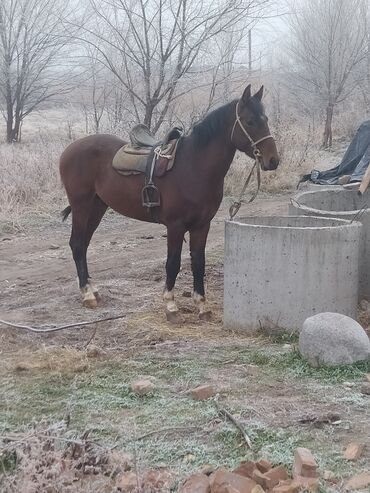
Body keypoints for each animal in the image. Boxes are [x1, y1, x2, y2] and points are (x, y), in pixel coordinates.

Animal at [59, 84, 278, 320]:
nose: (273, 160)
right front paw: (171, 305)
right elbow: (173, 263)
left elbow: (198, 262)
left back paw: (92, 288)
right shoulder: (175, 226)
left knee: (84, 244)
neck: (194, 166)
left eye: (266, 119)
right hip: (81, 206)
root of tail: (70, 149)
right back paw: (87, 294)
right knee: (77, 244)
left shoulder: (202, 225)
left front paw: (202, 305)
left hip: (97, 207)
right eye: (250, 121)